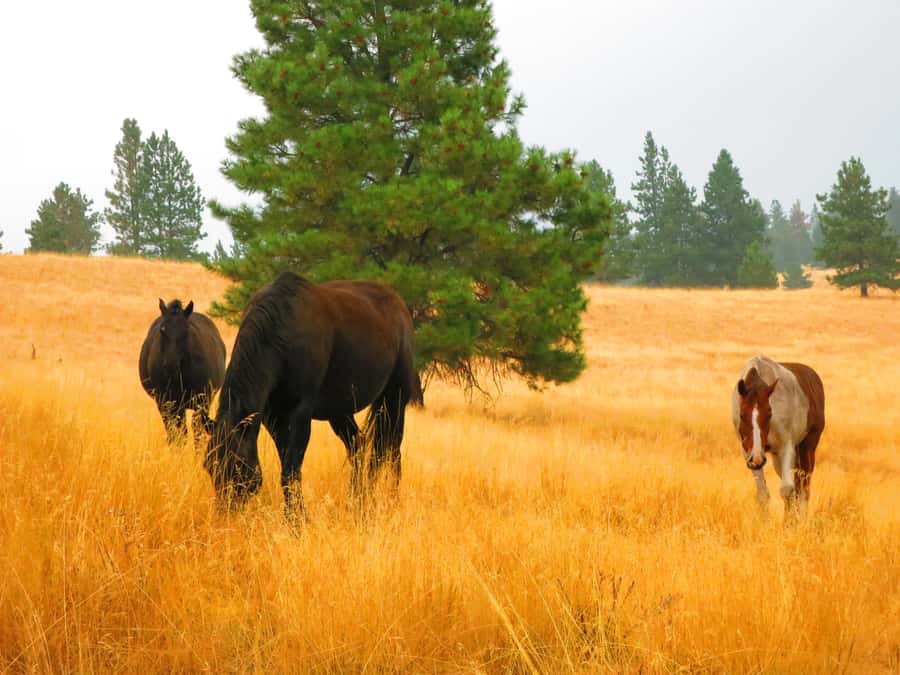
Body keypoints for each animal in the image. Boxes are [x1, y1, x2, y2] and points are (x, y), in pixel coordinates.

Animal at [139, 299, 227, 445]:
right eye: (162, 330)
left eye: (186, 330)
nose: (170, 366)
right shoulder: (165, 402)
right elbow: (176, 433)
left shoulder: (202, 401)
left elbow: (197, 432)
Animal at [204, 272, 423, 516]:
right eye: (209, 466)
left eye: (238, 464)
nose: (224, 511)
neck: (281, 330)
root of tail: (399, 304)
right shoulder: (273, 416)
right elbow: (287, 467)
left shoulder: (300, 413)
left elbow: (290, 471)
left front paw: (296, 520)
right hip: (340, 411)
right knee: (358, 446)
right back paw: (357, 501)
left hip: (395, 399)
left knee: (390, 451)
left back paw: (390, 500)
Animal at [731, 355, 825, 519]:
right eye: (742, 415)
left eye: (769, 414)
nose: (757, 458)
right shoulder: (749, 453)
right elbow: (763, 494)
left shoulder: (786, 447)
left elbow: (787, 490)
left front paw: (789, 523)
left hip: (807, 448)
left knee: (804, 488)